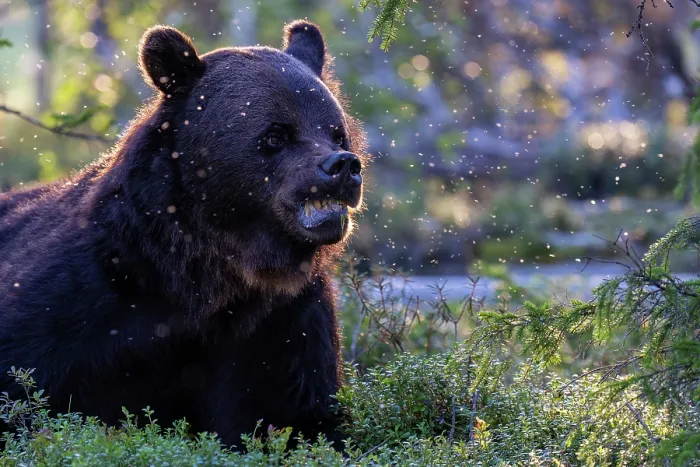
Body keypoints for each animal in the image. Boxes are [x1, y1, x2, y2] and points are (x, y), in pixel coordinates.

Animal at [0, 19, 367, 450]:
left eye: (336, 132)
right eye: (277, 135)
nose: (343, 167)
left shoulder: (281, 325)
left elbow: (297, 415)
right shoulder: (77, 305)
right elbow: (24, 379)